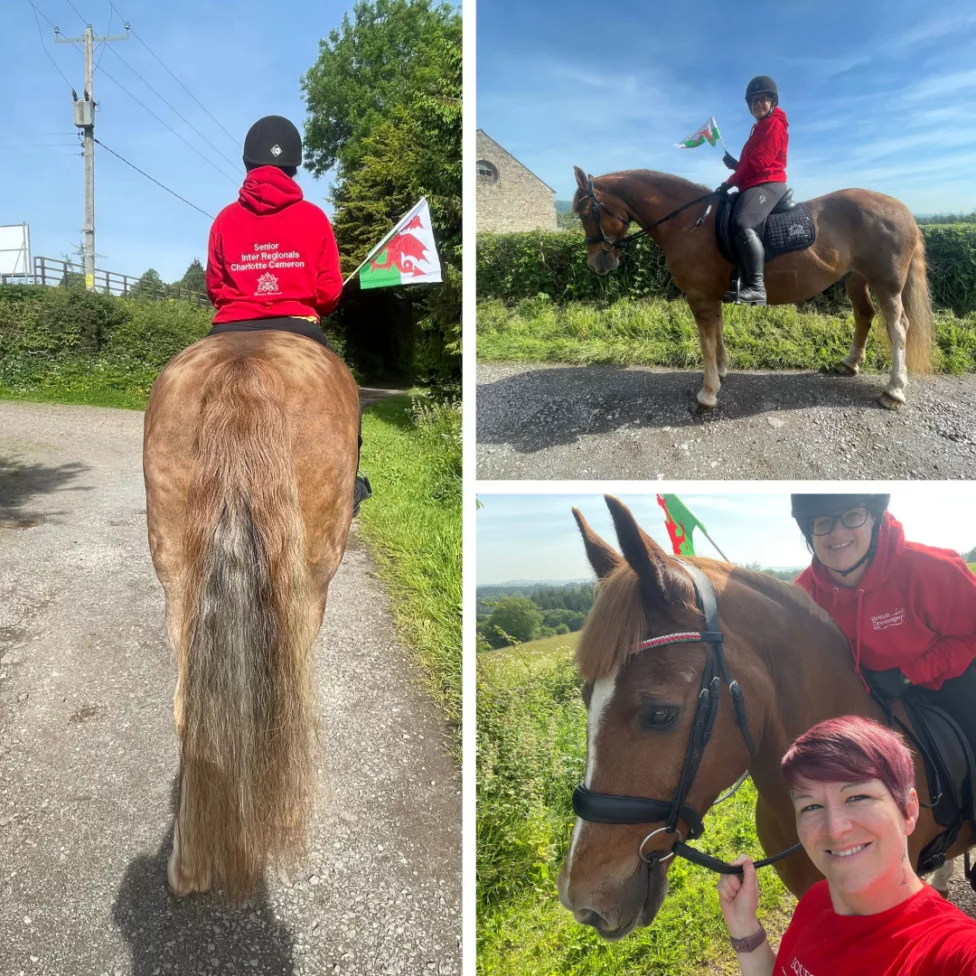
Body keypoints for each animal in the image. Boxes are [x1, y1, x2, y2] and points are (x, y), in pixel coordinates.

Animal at [572, 167, 933, 413]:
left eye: (586, 211)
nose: (597, 261)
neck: (690, 222)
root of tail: (903, 210)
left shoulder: (699, 297)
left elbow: (705, 342)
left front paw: (707, 394)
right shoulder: (711, 296)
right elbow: (716, 333)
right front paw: (721, 371)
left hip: (887, 283)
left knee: (898, 328)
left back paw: (894, 390)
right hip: (856, 278)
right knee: (864, 315)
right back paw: (850, 363)